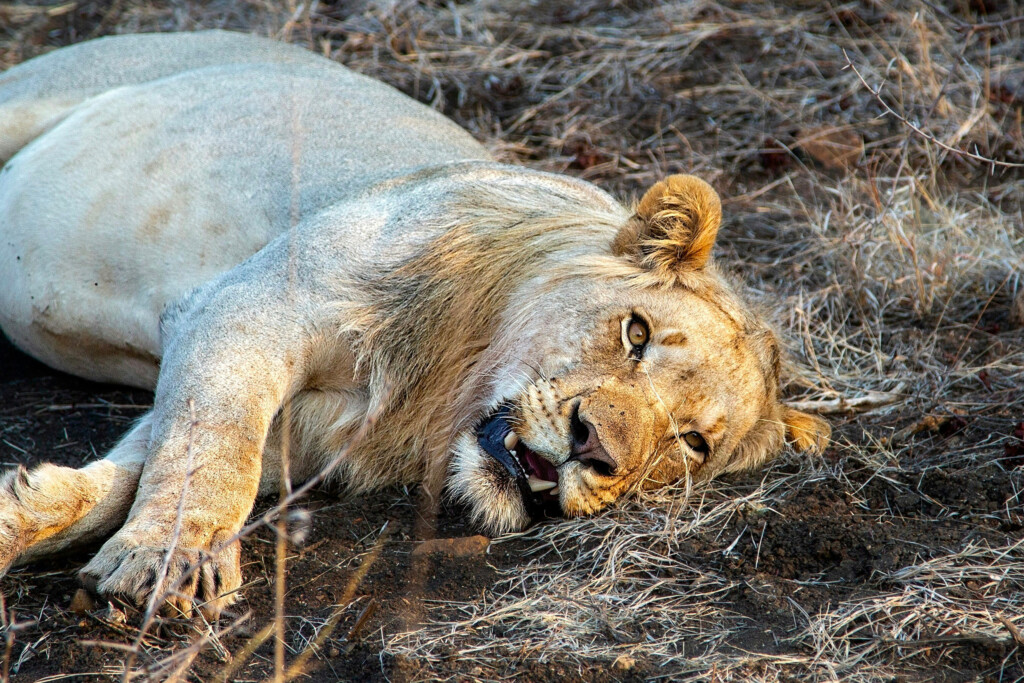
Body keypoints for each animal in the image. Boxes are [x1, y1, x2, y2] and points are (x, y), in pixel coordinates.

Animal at [0, 30, 831, 618]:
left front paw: (31, 510)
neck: (438, 393)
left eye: (690, 443)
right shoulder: (247, 308)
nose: (593, 449)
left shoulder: (303, 437)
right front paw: (169, 561)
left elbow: (152, 462)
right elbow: (211, 452)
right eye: (636, 333)